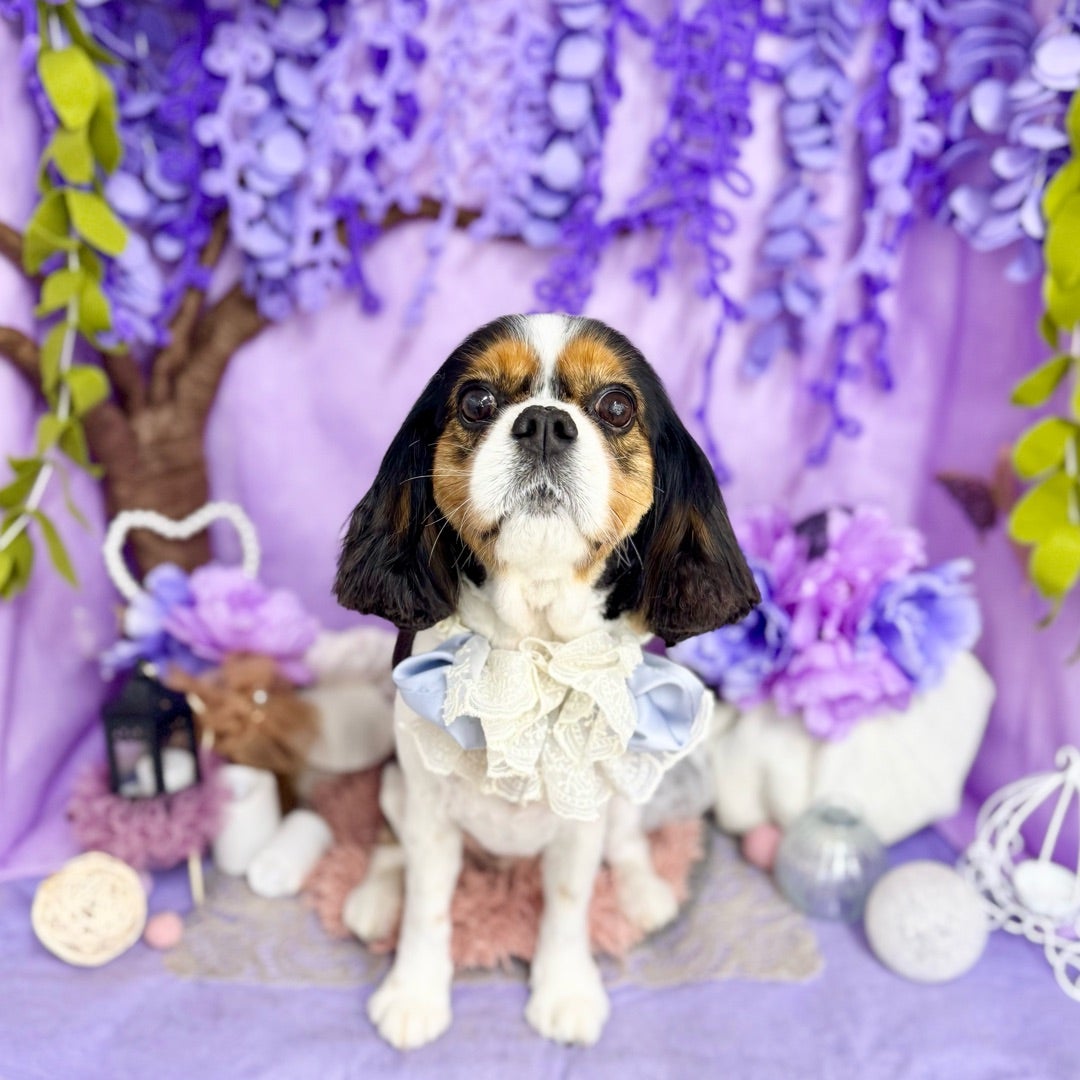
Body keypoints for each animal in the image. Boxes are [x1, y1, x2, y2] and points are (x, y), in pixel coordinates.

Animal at [334, 314, 758, 1049]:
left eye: (616, 406)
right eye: (477, 401)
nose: (543, 424)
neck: (529, 645)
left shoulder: (581, 820)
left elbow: (568, 901)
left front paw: (565, 990)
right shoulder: (429, 809)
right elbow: (427, 904)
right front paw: (413, 993)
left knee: (626, 839)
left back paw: (644, 891)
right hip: (397, 781)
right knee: (393, 843)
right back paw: (376, 895)